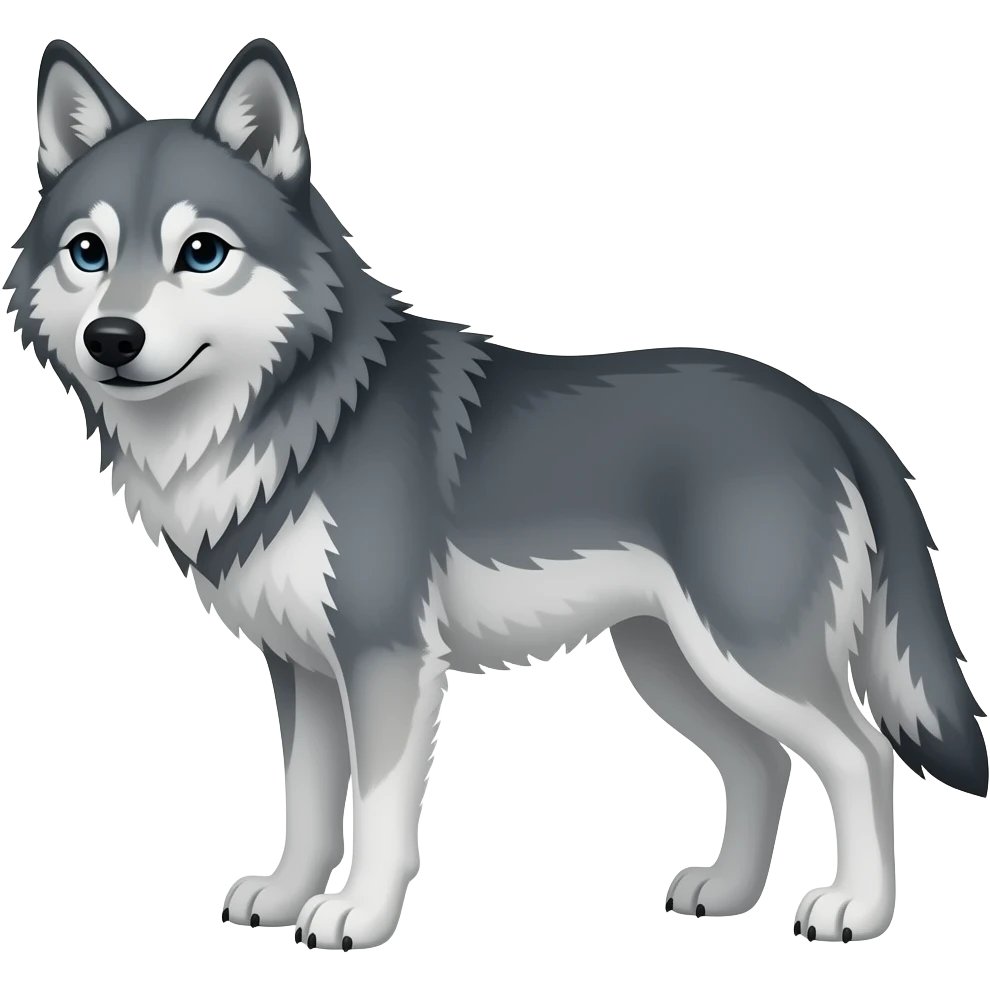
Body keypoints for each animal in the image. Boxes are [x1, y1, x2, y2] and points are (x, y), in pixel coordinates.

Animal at [5, 35, 987, 951]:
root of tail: (825, 406)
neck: (295, 416)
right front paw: (285, 900)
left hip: (746, 655)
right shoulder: (302, 670)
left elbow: (380, 811)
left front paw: (357, 916)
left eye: (201, 252)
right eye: (87, 252)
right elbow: (308, 806)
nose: (112, 339)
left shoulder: (387, 660)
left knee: (862, 756)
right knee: (761, 765)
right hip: (672, 663)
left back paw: (856, 909)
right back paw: (728, 894)